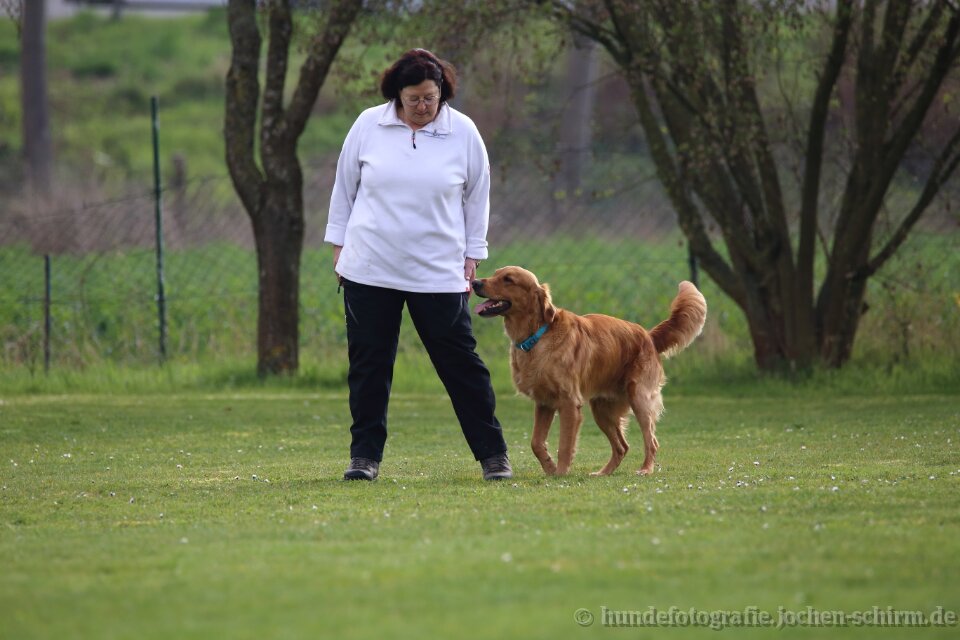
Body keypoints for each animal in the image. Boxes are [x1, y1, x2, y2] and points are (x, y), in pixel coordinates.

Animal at [472, 266, 706, 476]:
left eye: (508, 279)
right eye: (494, 274)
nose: (474, 282)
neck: (538, 335)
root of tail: (648, 336)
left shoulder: (569, 403)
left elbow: (565, 445)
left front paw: (561, 473)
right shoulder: (544, 403)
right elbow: (536, 443)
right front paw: (550, 468)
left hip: (639, 398)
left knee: (652, 441)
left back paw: (645, 469)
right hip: (602, 410)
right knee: (622, 447)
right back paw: (603, 473)